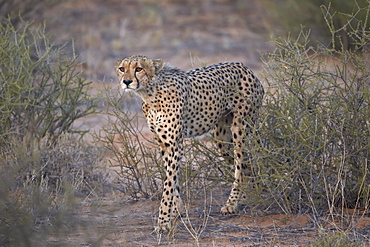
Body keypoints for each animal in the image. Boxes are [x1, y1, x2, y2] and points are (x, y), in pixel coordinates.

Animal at [115, 55, 264, 233]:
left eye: (139, 69)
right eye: (122, 69)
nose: (127, 81)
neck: (150, 94)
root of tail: (244, 67)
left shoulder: (174, 146)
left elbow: (168, 184)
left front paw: (163, 221)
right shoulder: (164, 145)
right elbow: (172, 181)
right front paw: (176, 211)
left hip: (239, 127)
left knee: (240, 164)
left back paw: (232, 203)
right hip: (223, 139)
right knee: (246, 162)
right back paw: (254, 192)